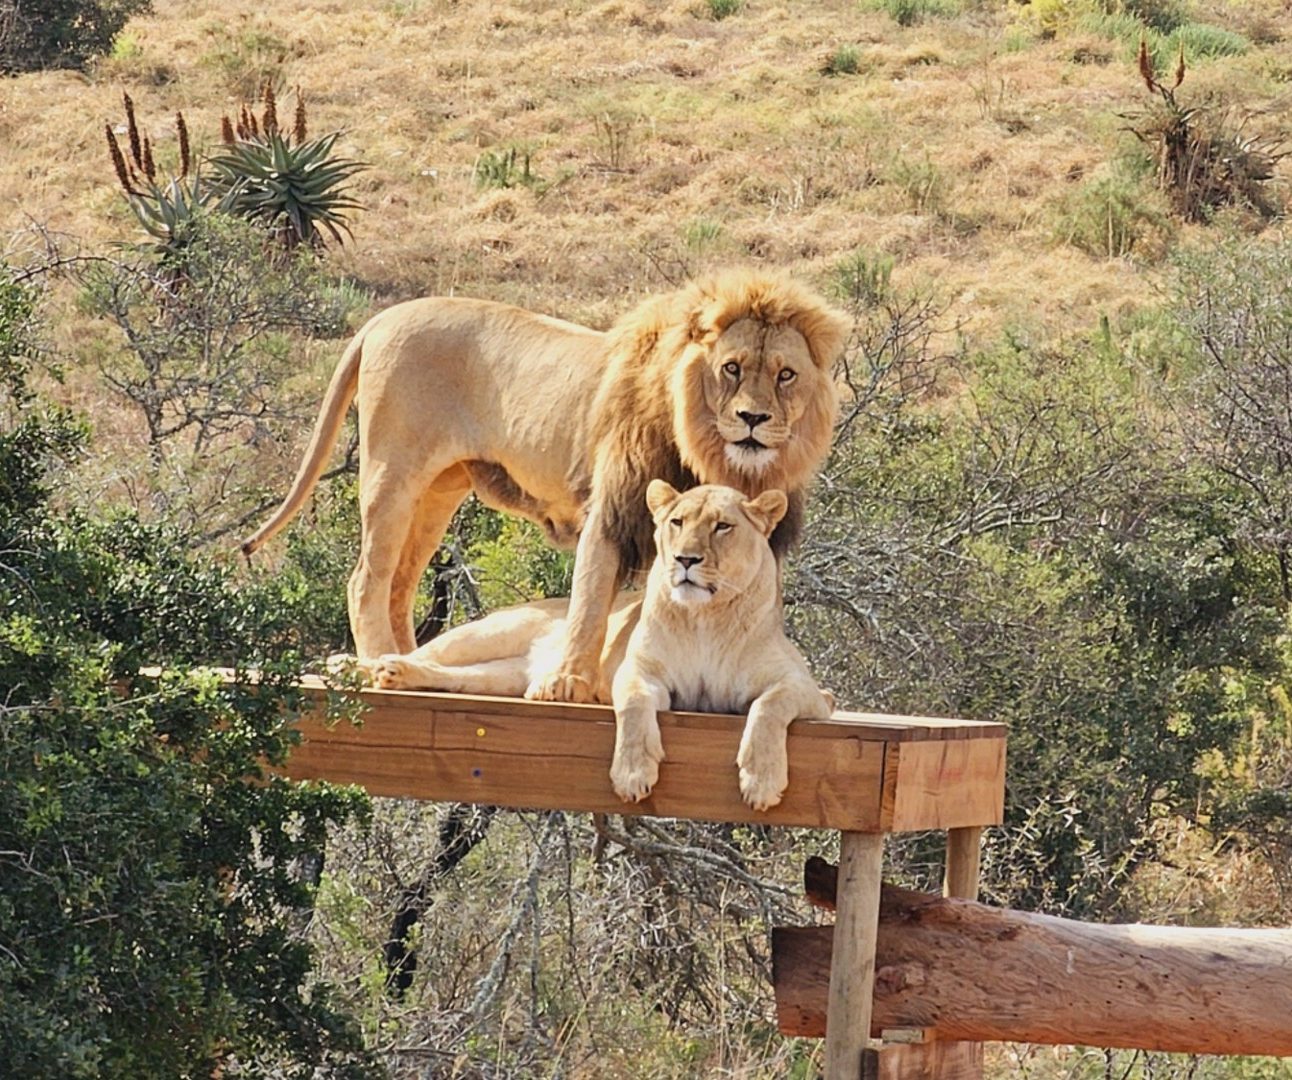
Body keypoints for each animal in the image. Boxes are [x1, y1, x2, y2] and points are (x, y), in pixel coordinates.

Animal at [241, 268, 847, 702]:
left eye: (785, 375)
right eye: (732, 368)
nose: (753, 419)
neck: (714, 454)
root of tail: (381, 318)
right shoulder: (614, 506)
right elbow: (590, 595)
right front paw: (569, 681)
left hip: (438, 492)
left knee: (399, 586)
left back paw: (407, 661)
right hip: (393, 473)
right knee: (366, 579)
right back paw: (373, 666)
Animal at [372, 480, 837, 811]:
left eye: (723, 526)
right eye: (677, 523)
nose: (685, 560)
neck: (705, 618)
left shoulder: (805, 689)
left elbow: (769, 707)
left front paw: (761, 781)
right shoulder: (639, 671)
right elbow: (632, 705)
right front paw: (632, 775)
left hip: (498, 677)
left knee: (449, 675)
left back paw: (397, 675)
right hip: (491, 632)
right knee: (427, 653)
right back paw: (372, 667)